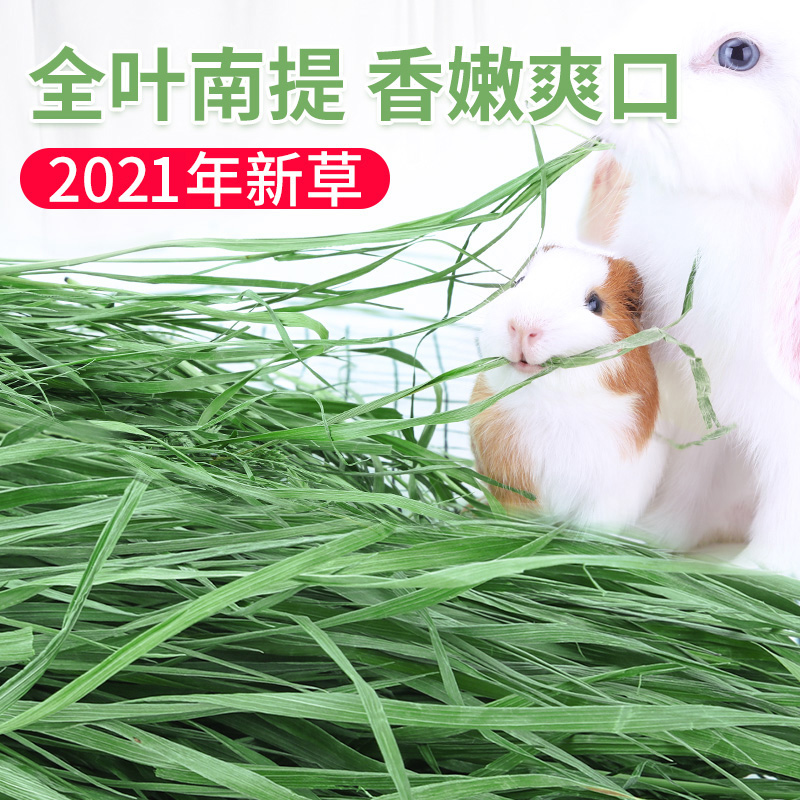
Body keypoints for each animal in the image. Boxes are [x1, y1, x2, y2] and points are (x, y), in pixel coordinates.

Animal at [581, 0, 799, 572]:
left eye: (738, 54)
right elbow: (691, 483)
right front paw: (648, 541)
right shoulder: (704, 410)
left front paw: (759, 572)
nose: (599, 91)